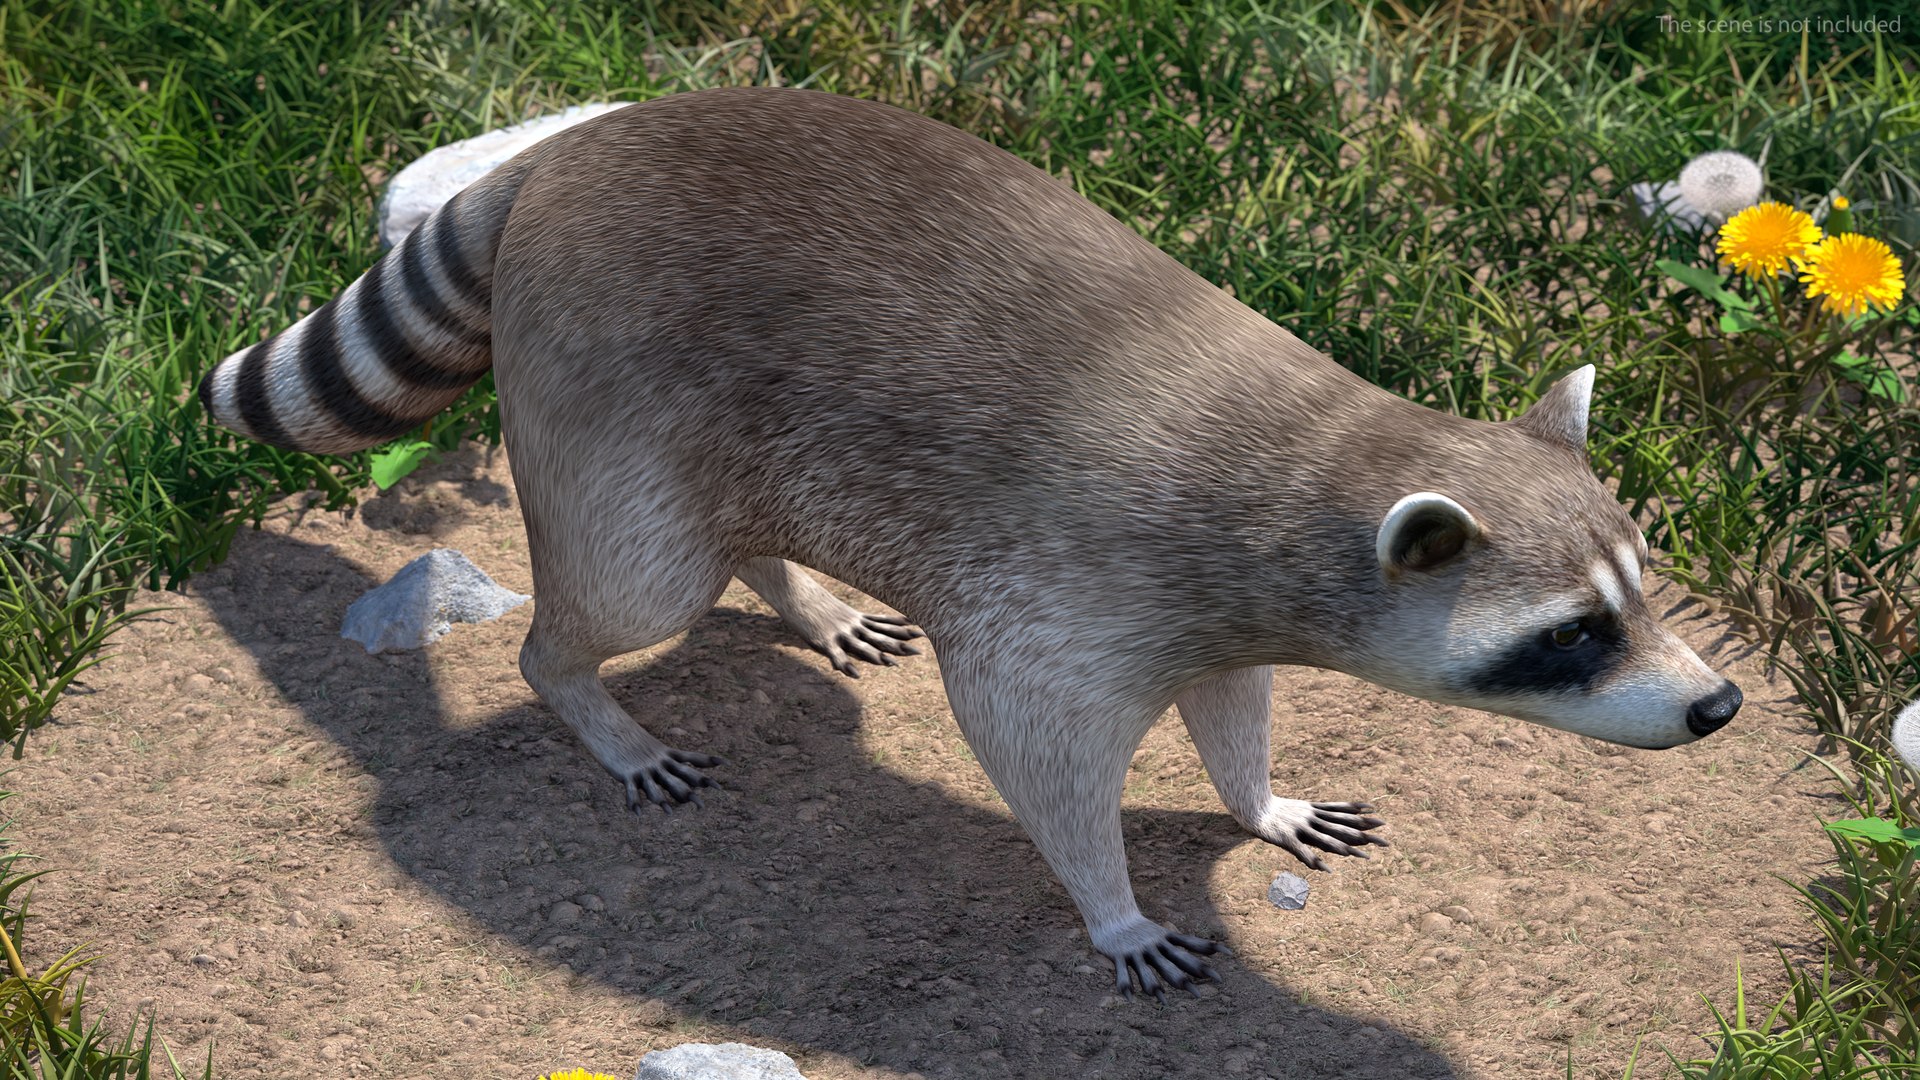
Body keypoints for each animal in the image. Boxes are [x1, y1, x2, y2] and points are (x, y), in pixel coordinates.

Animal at [200, 86, 1741, 1000]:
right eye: (1574, 634)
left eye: (1646, 594)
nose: (1720, 705)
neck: (1320, 460)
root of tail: (568, 148)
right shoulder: (1076, 577)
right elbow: (1030, 745)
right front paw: (1112, 905)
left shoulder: (1214, 606)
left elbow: (1231, 703)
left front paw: (1258, 796)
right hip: (607, 383)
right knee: (633, 583)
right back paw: (584, 692)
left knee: (737, 525)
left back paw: (796, 590)